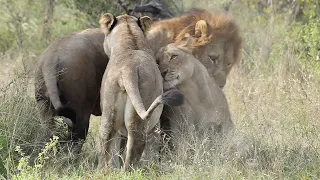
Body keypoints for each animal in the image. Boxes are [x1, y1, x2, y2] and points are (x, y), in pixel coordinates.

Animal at [97, 13, 184, 170]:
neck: (130, 40)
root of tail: (128, 68)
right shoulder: (154, 128)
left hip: (109, 112)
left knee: (106, 141)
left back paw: (102, 171)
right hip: (141, 115)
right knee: (134, 148)